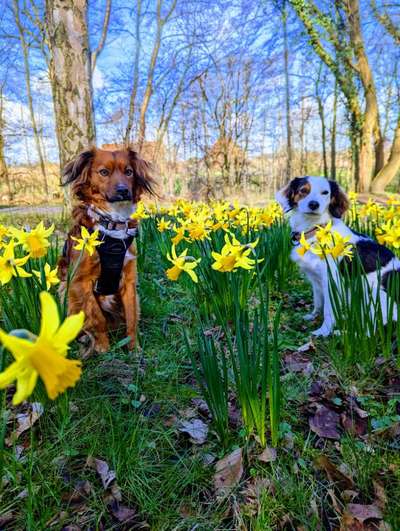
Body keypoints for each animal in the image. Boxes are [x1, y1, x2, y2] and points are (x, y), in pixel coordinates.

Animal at [59, 148, 155, 354]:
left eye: (129, 172)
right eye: (103, 172)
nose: (123, 190)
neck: (112, 222)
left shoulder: (129, 280)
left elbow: (131, 318)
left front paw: (134, 348)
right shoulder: (80, 282)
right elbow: (97, 318)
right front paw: (103, 347)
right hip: (65, 293)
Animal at [276, 178, 398, 336]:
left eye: (325, 192)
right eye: (303, 190)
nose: (314, 204)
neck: (316, 231)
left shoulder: (331, 281)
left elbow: (329, 310)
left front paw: (323, 331)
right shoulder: (315, 279)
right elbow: (318, 301)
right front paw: (313, 316)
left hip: (370, 295)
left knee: (372, 330)